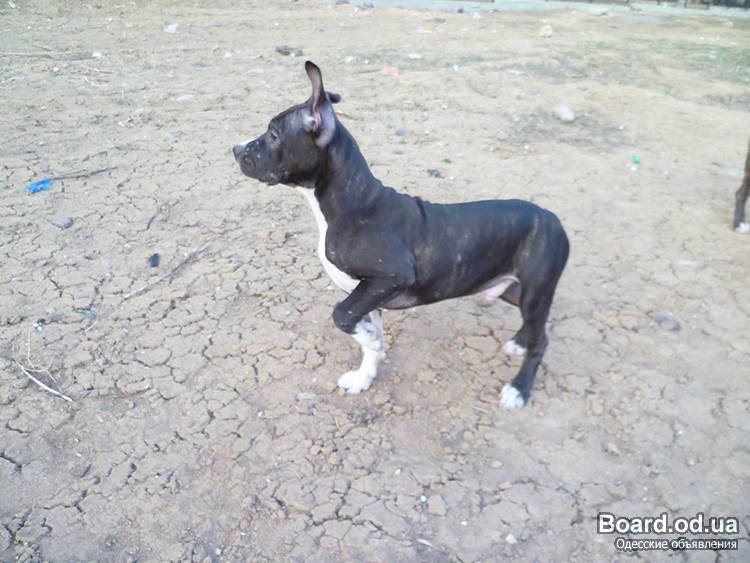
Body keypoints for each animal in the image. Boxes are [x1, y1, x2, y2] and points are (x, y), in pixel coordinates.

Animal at [233, 62, 569, 408]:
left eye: (274, 135)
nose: (236, 149)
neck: (351, 202)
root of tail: (553, 220)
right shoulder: (367, 294)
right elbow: (369, 333)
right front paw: (365, 375)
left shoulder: (389, 277)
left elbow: (341, 314)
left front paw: (368, 343)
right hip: (512, 288)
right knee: (538, 330)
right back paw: (519, 343)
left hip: (535, 291)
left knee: (540, 341)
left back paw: (519, 388)